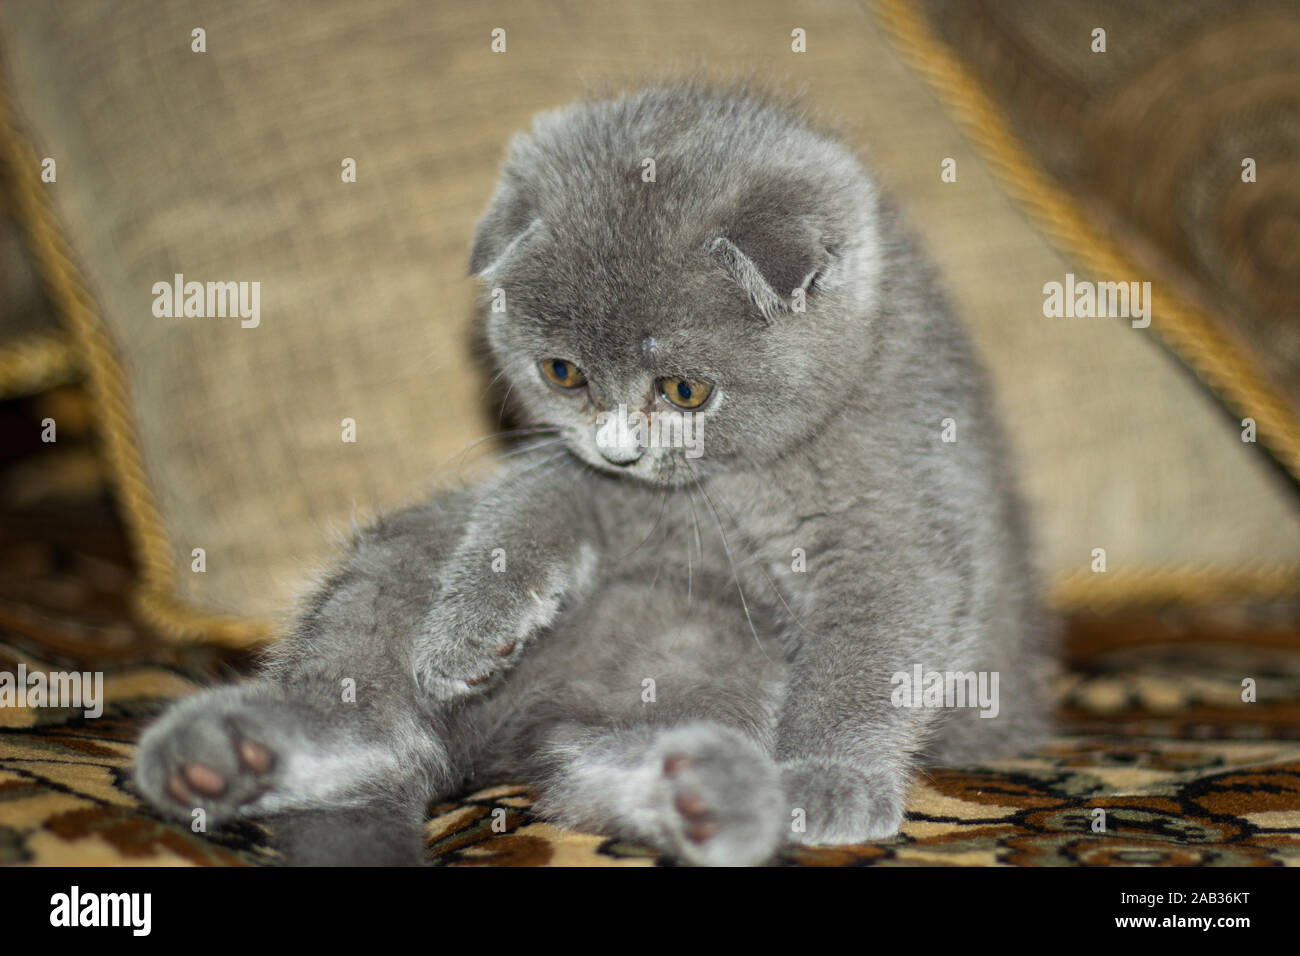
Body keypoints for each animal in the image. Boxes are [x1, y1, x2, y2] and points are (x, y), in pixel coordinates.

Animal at [134, 83, 1045, 868]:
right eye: (563, 372)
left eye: (684, 389)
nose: (620, 449)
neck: (726, 489)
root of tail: (512, 736)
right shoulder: (579, 478)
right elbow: (530, 505)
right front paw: (467, 633)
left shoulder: (900, 528)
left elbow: (870, 653)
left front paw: (830, 778)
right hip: (403, 558)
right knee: (376, 720)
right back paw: (222, 755)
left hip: (712, 664)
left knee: (596, 770)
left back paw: (713, 795)